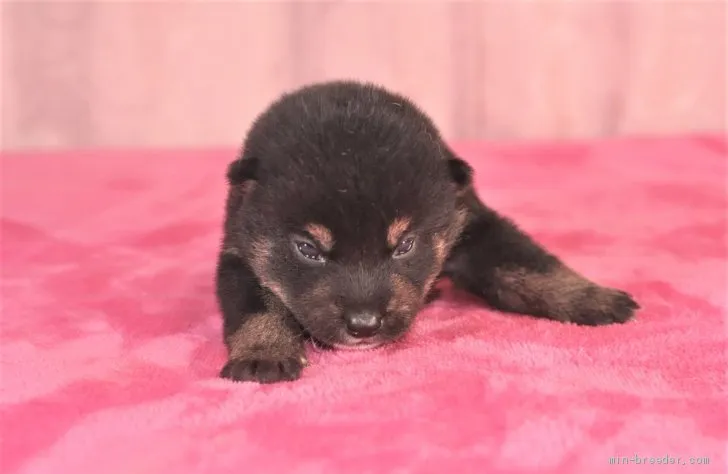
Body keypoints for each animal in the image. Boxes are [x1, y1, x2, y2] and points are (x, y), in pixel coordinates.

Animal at [215, 81, 636, 384]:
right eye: (307, 249)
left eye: (405, 245)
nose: (364, 325)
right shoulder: (240, 255)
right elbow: (256, 306)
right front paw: (265, 352)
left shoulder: (472, 227)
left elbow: (529, 264)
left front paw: (591, 297)